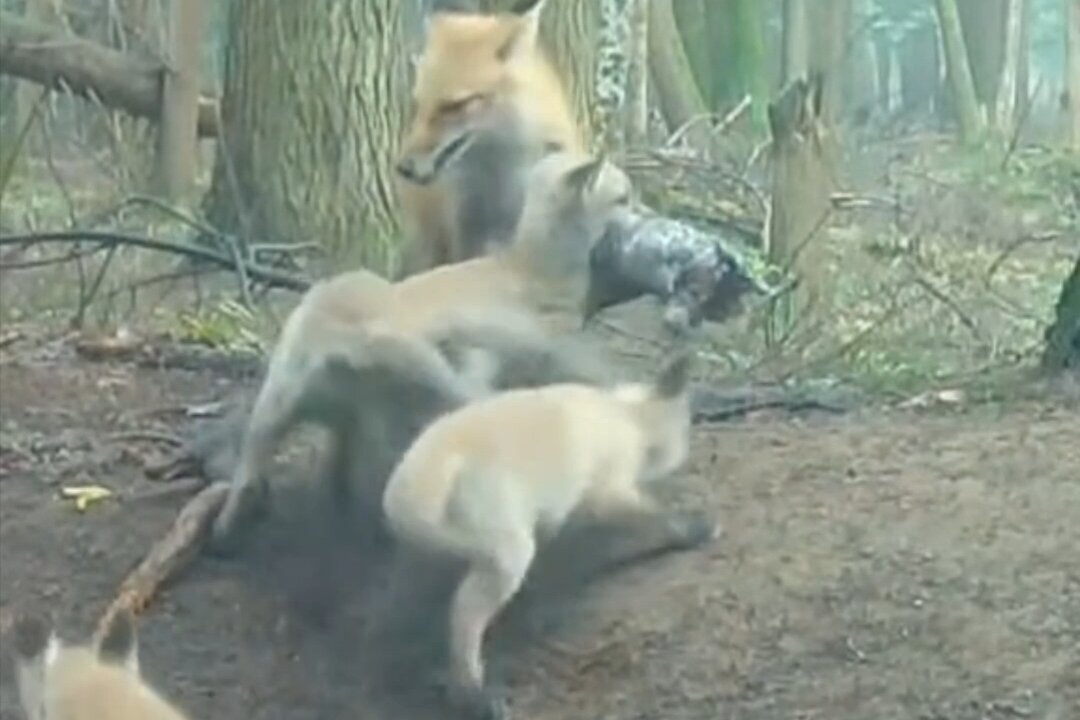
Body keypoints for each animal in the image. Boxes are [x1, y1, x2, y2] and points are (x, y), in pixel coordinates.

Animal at [208, 148, 630, 557]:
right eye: (624, 197)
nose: (645, 210)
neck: (531, 273)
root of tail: (333, 339)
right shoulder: (523, 354)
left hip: (287, 407)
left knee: (261, 475)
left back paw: (235, 529)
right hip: (399, 408)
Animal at [382, 354, 717, 720]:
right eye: (685, 429)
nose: (684, 455)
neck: (623, 415)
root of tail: (409, 483)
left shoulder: (553, 519)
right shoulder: (604, 492)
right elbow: (657, 517)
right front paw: (696, 530)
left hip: (426, 558)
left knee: (403, 615)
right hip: (506, 548)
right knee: (464, 615)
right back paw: (474, 694)